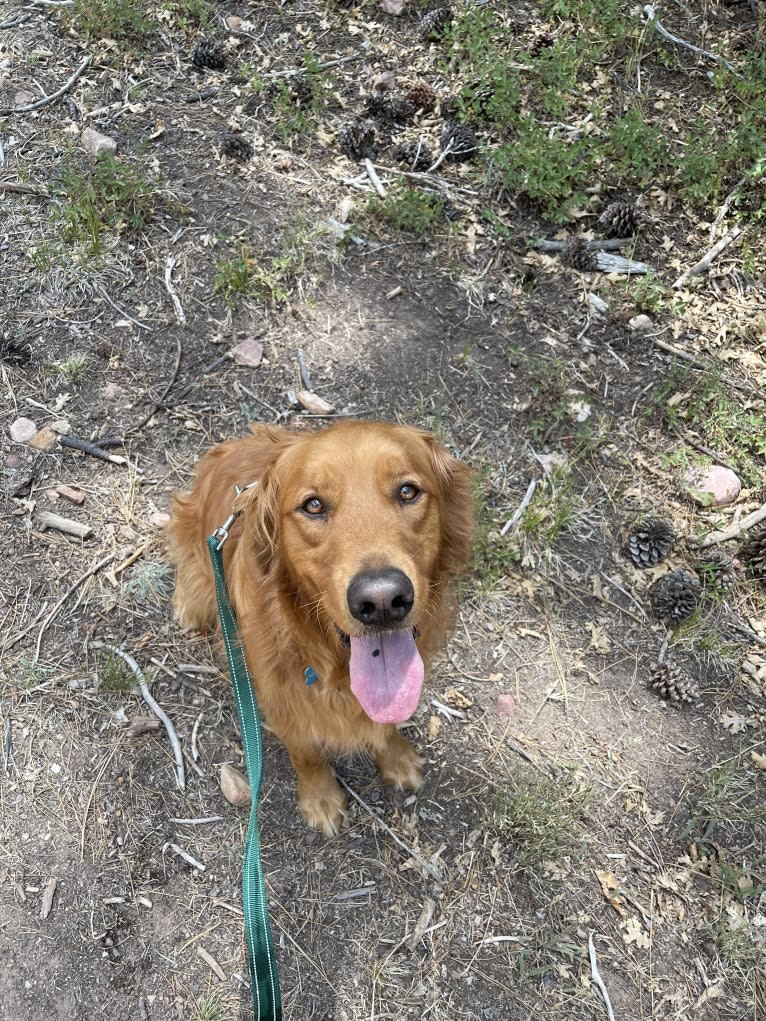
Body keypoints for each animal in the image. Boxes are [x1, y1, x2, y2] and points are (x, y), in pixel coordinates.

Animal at [167, 418, 473, 833]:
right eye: (313, 505)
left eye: (408, 491)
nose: (381, 601)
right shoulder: (279, 696)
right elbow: (306, 751)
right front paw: (321, 798)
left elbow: (387, 723)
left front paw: (397, 758)